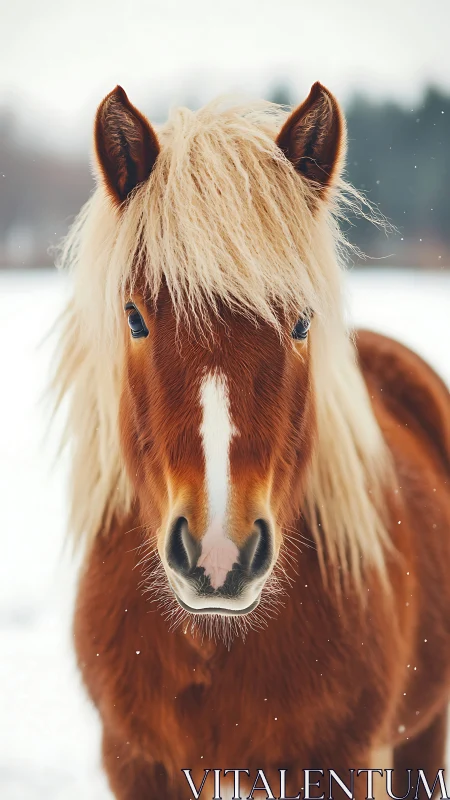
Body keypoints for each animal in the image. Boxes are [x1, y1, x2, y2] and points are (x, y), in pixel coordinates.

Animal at [53, 81, 450, 800]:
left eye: (301, 321)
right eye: (134, 317)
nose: (218, 553)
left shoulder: (339, 765)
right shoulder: (138, 764)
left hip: (423, 733)